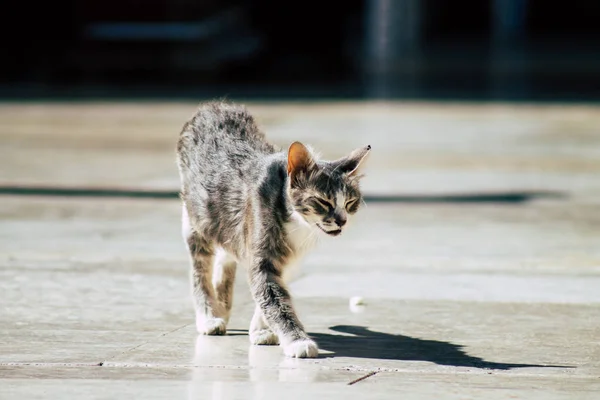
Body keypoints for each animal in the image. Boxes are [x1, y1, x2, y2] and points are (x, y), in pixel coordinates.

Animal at [176, 101, 368, 358]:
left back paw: (223, 304)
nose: (342, 220)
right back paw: (209, 315)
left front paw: (261, 330)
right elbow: (273, 298)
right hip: (197, 219)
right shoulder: (262, 255)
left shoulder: (287, 261)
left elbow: (270, 294)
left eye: (350, 203)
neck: (297, 223)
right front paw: (297, 341)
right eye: (323, 201)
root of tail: (215, 106)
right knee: (200, 269)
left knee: (227, 252)